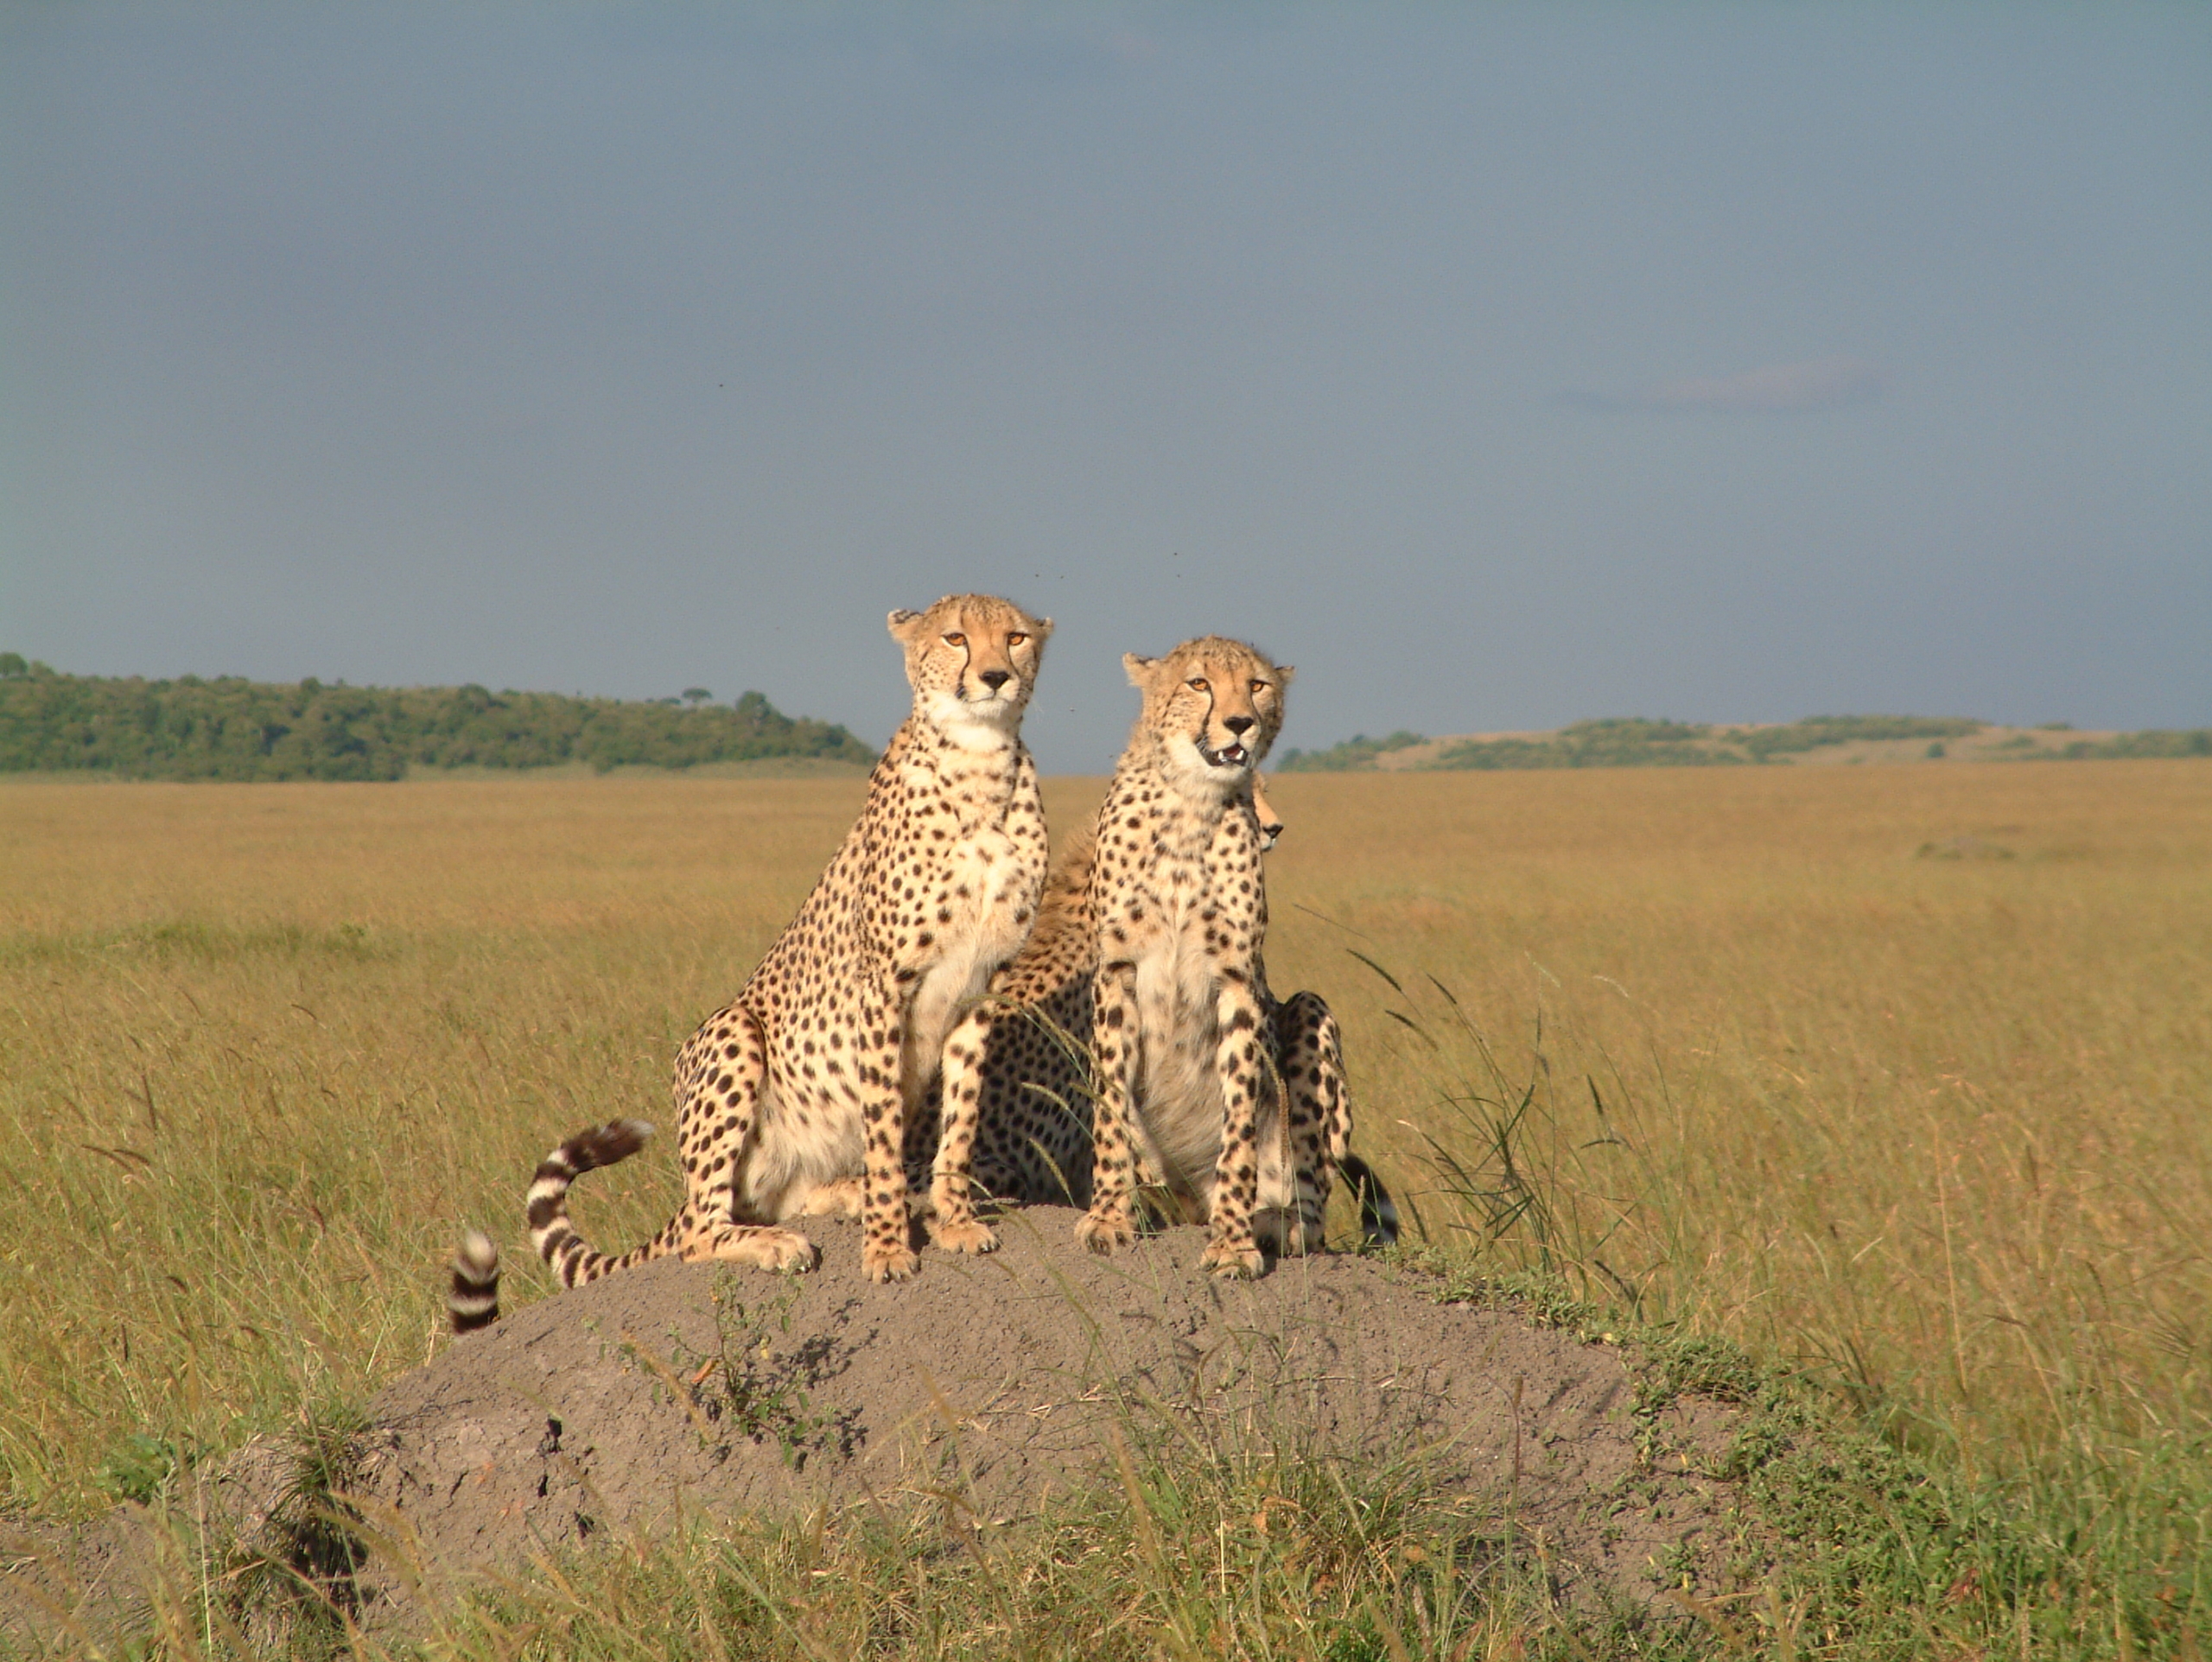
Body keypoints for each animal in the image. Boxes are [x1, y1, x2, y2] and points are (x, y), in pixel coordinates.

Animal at [453, 592, 1048, 1326]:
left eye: (1016, 637)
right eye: (956, 638)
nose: (995, 677)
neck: (980, 763)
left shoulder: (982, 986)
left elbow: (960, 1120)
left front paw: (955, 1219)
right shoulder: (883, 986)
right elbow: (884, 1130)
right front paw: (887, 1248)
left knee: (776, 1198)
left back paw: (842, 1195)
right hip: (733, 1035)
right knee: (703, 1232)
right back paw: (776, 1241)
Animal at [915, 631, 1380, 1272]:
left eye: (1258, 685)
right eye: (1199, 683)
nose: (1241, 723)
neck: (1191, 804)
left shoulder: (1238, 979)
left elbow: (1238, 1119)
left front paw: (1232, 1244)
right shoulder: (1118, 974)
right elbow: (1111, 1107)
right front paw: (1110, 1218)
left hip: (1308, 1020)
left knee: (1307, 1196)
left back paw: (1275, 1225)